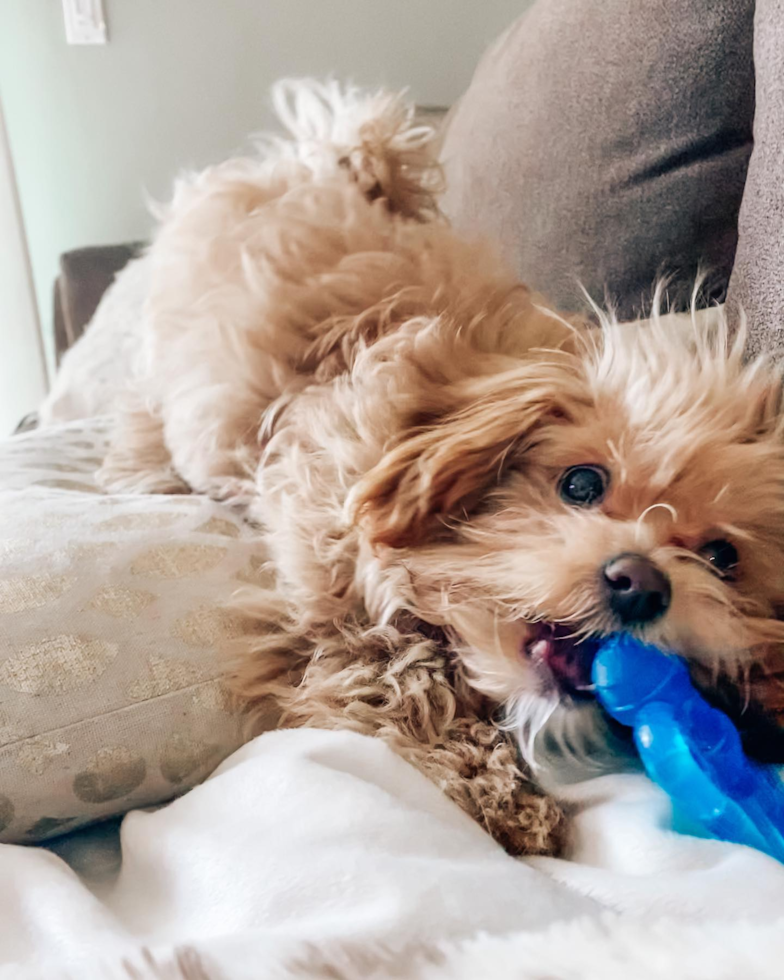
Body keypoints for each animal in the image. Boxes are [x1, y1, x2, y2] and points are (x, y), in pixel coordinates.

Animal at [99, 80, 784, 852]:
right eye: (580, 482)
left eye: (723, 557)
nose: (641, 584)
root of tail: (325, 163)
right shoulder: (332, 601)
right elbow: (405, 674)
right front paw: (498, 791)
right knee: (142, 413)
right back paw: (143, 472)